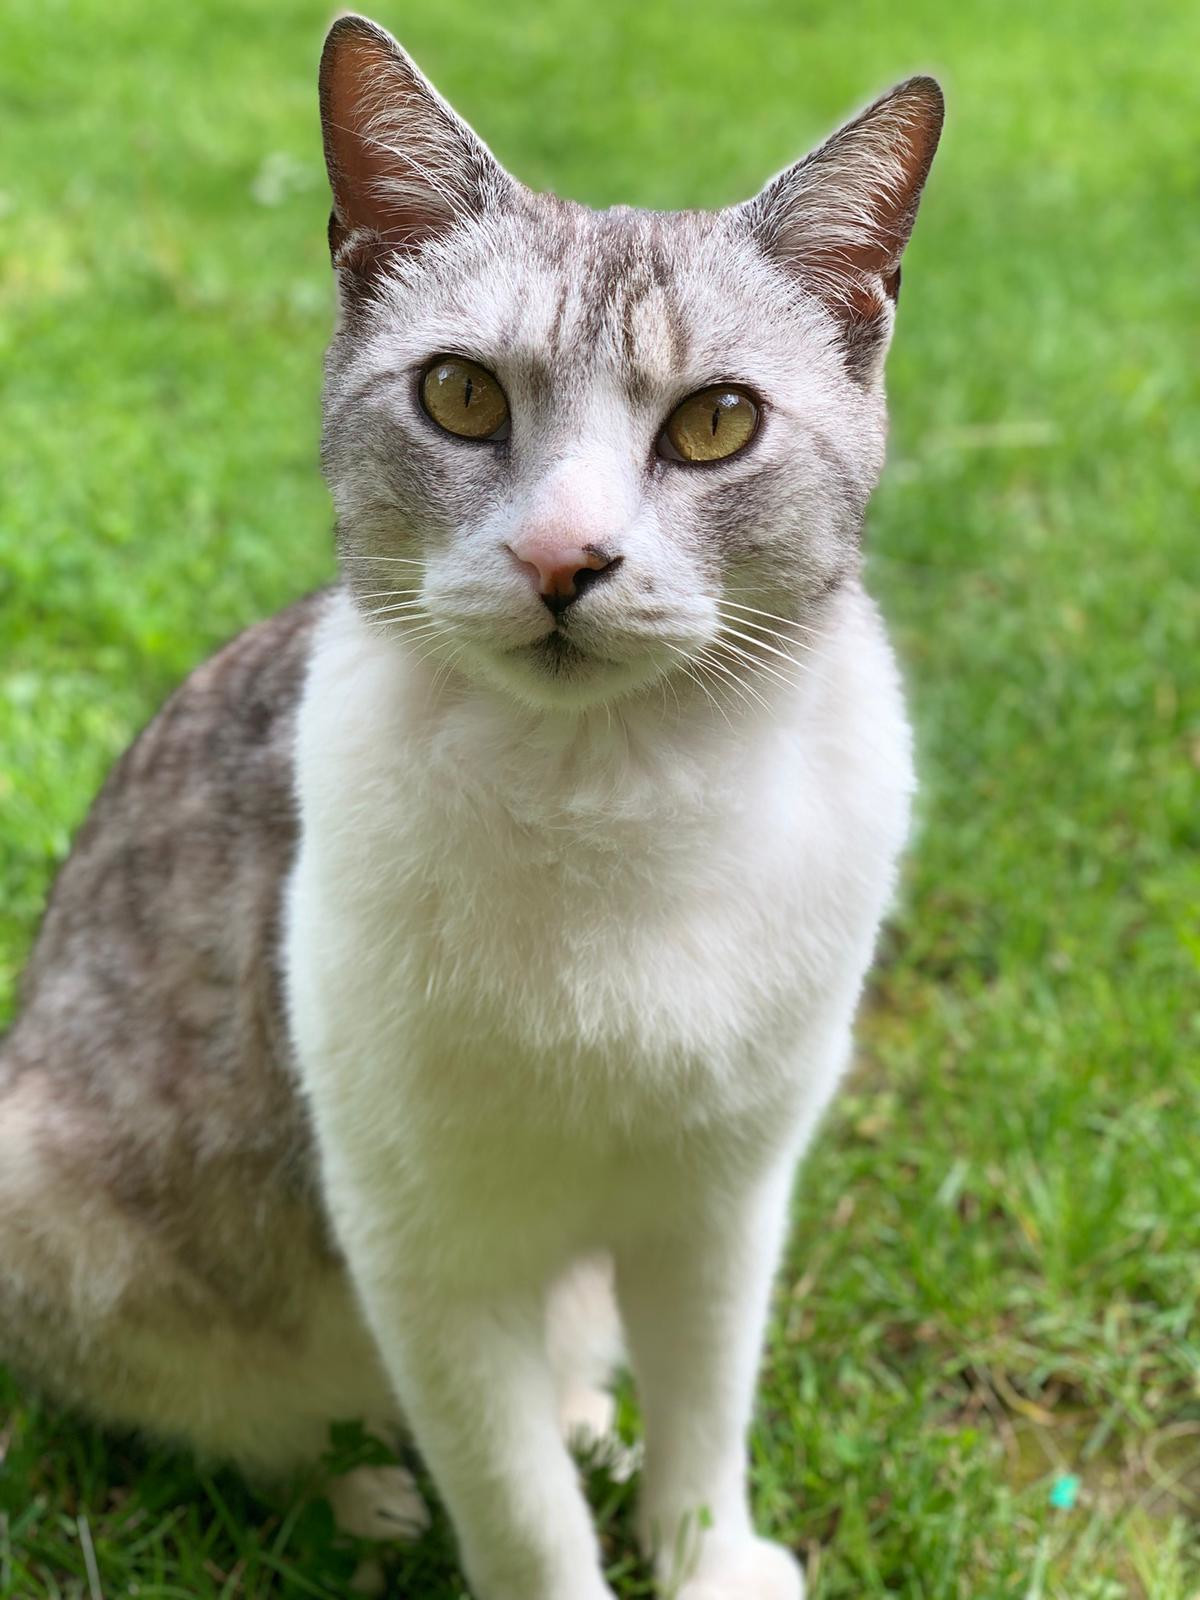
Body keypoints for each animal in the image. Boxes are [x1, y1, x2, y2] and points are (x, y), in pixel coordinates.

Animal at [0, 15, 940, 1600]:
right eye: (460, 396)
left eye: (718, 422)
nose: (568, 559)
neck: (615, 794)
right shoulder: (424, 1247)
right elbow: (513, 1508)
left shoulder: (721, 1208)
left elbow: (704, 1415)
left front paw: (699, 1553)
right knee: (248, 1415)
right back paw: (358, 1493)